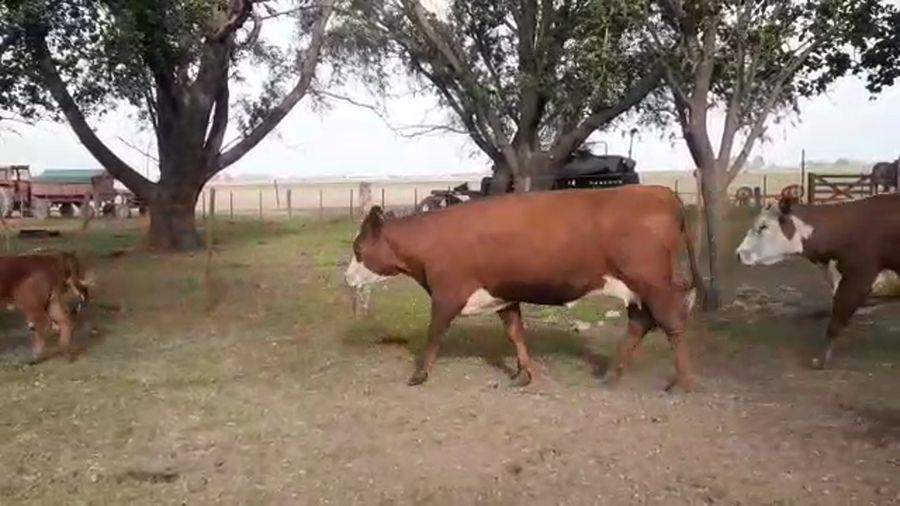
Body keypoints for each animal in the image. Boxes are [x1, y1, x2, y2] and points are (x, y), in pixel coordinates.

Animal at [344, 184, 705, 392]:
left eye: (358, 248)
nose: (347, 278)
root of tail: (663, 191)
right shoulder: (503, 294)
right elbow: (515, 333)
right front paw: (524, 374)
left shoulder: (447, 294)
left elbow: (434, 334)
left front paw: (419, 374)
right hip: (637, 287)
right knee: (639, 322)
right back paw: (611, 375)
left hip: (653, 282)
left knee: (671, 321)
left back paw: (684, 382)